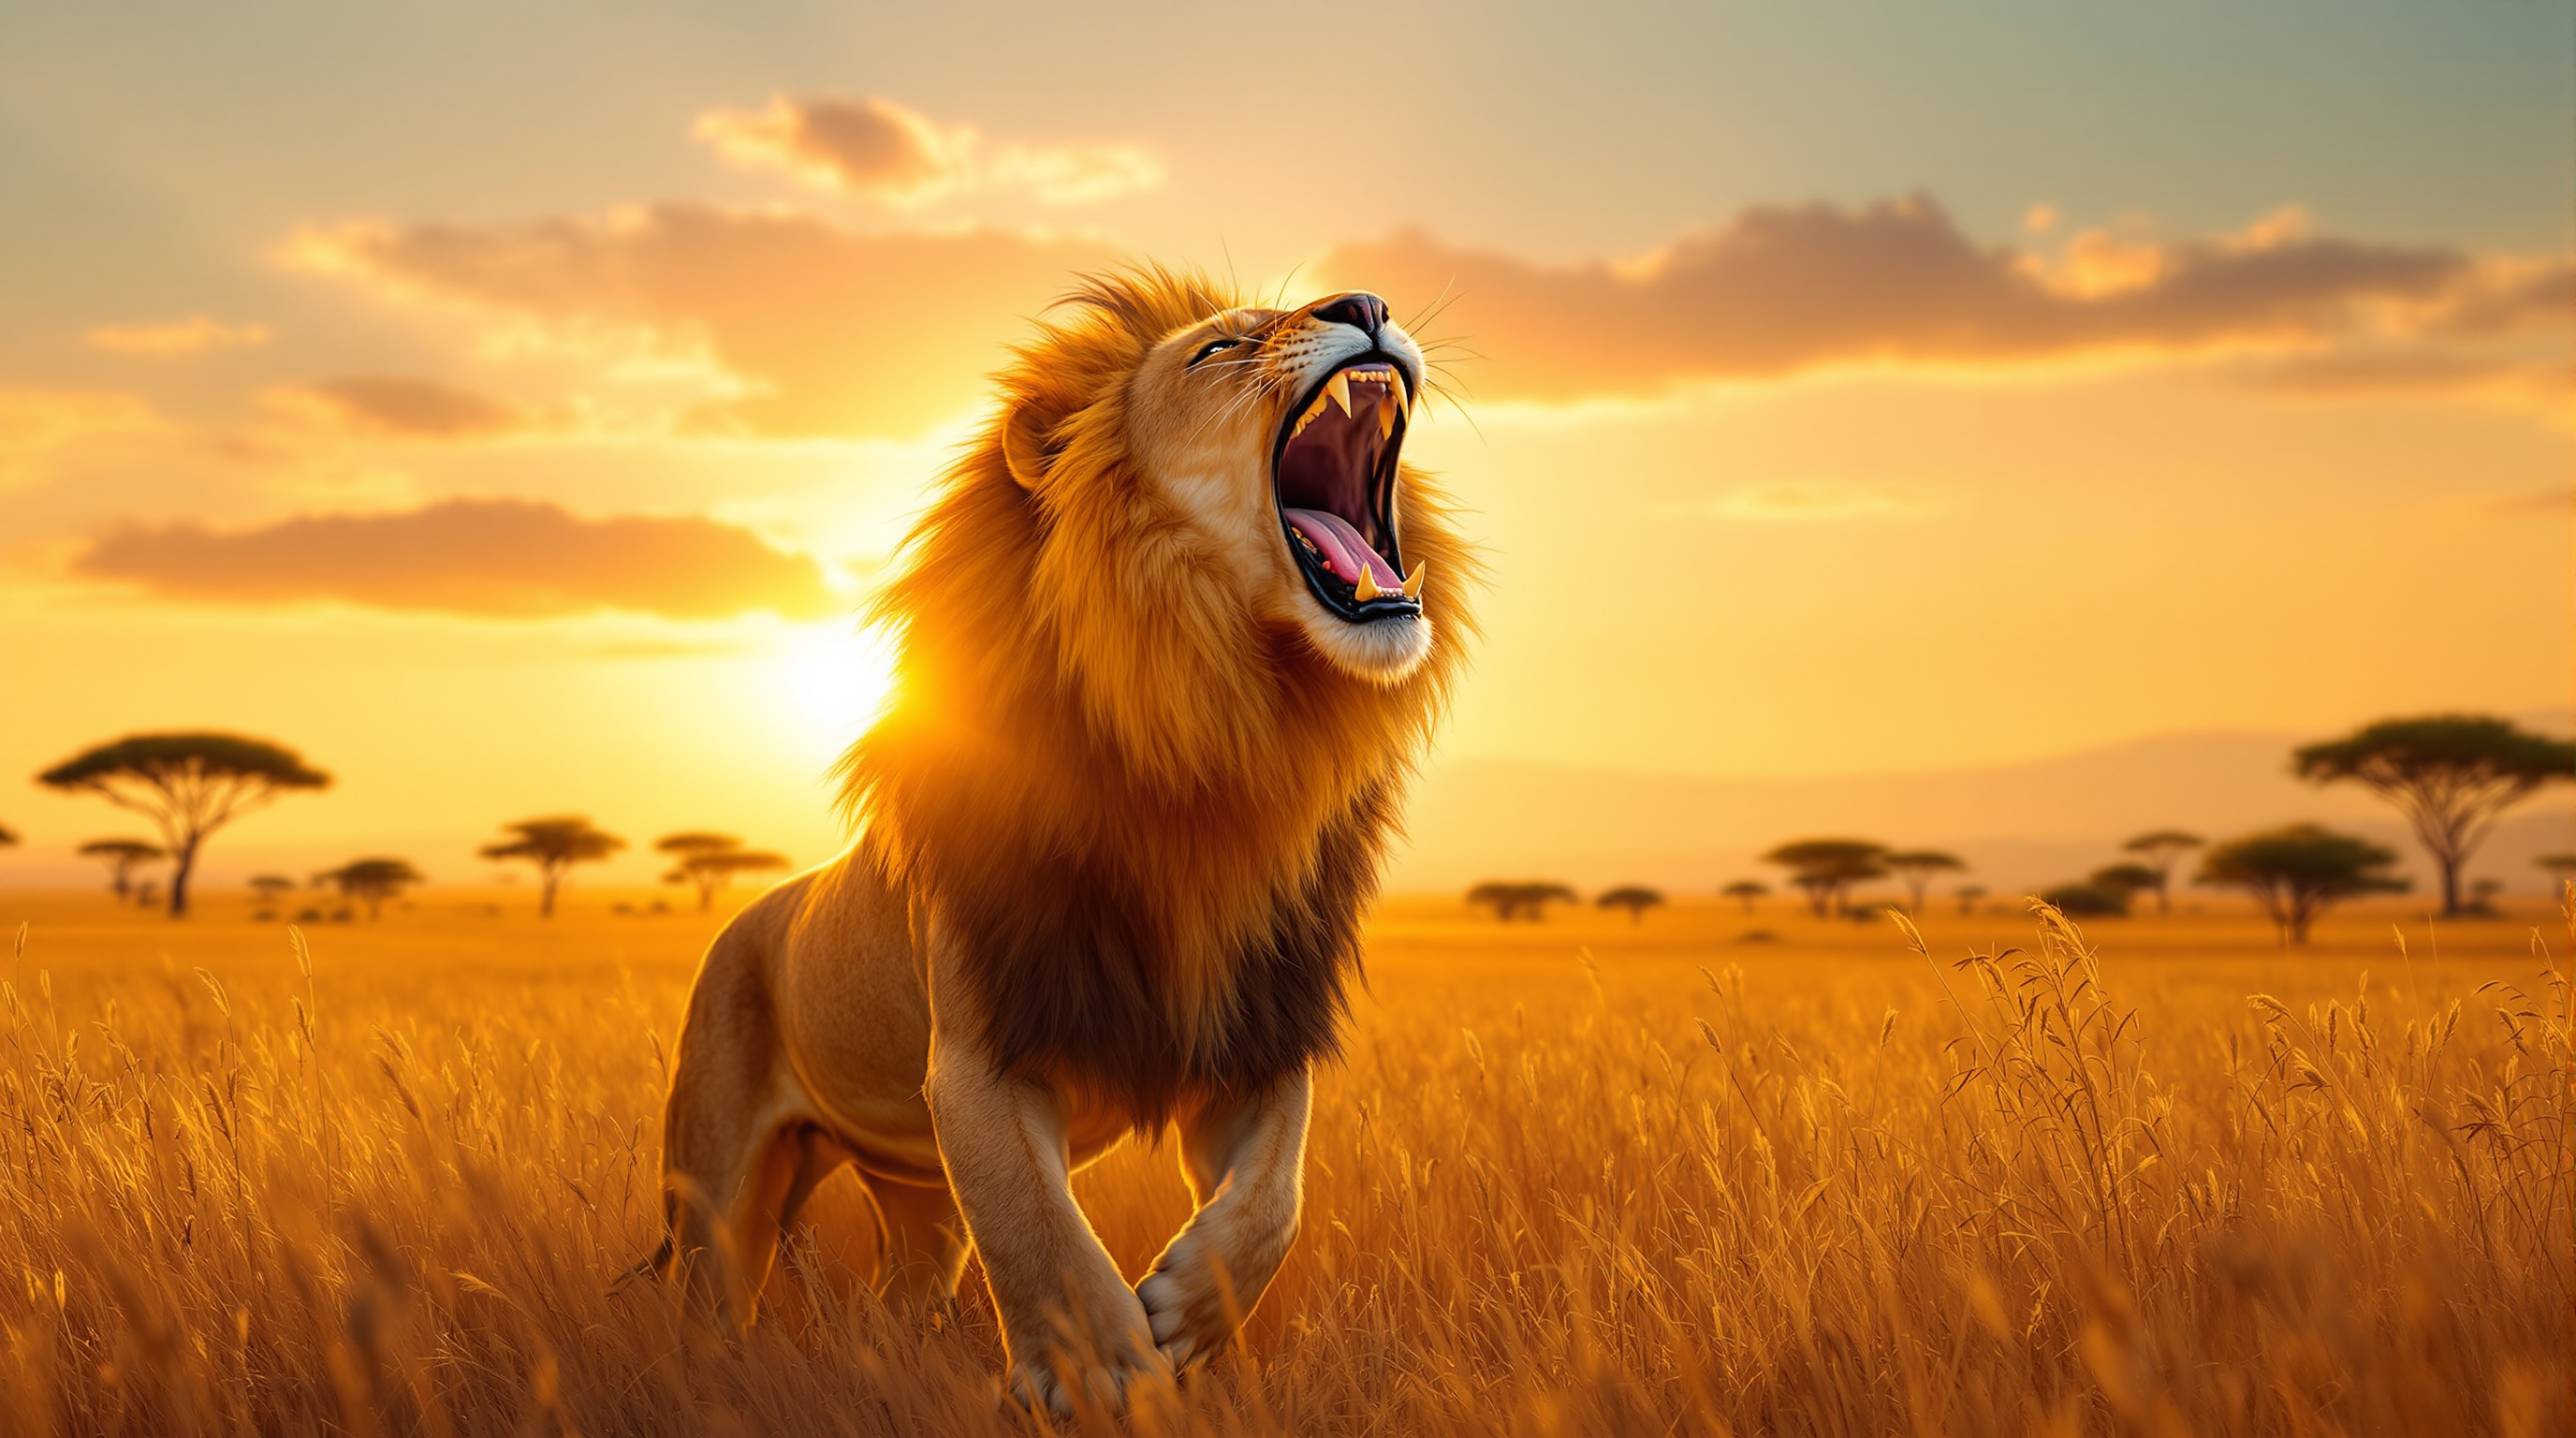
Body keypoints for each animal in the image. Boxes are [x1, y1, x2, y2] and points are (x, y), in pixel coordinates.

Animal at [652, 268, 1476, 1413]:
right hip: (718, 1188)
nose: (1363, 304)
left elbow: (1276, 1197)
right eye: (1218, 350)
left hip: (919, 1197)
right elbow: (1043, 1234)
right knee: (708, 1297)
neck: (1210, 748)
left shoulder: (1252, 1037)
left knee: (901, 1296)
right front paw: (1106, 1373)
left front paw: (1187, 1310)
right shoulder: (977, 1064)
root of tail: (745, 920)